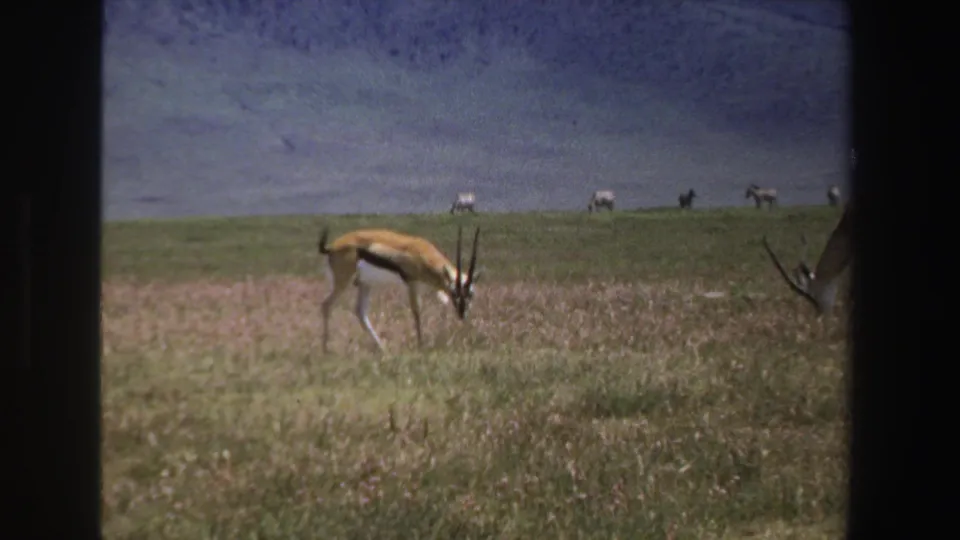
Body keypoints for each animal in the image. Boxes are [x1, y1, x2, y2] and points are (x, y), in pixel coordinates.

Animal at [317, 225, 482, 353]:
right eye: (455, 292)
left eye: (471, 293)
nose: (463, 314)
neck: (421, 253)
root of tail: (331, 247)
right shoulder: (412, 283)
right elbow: (416, 311)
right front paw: (421, 346)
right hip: (342, 282)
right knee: (326, 304)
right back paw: (326, 350)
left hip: (365, 283)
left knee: (360, 312)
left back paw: (383, 349)